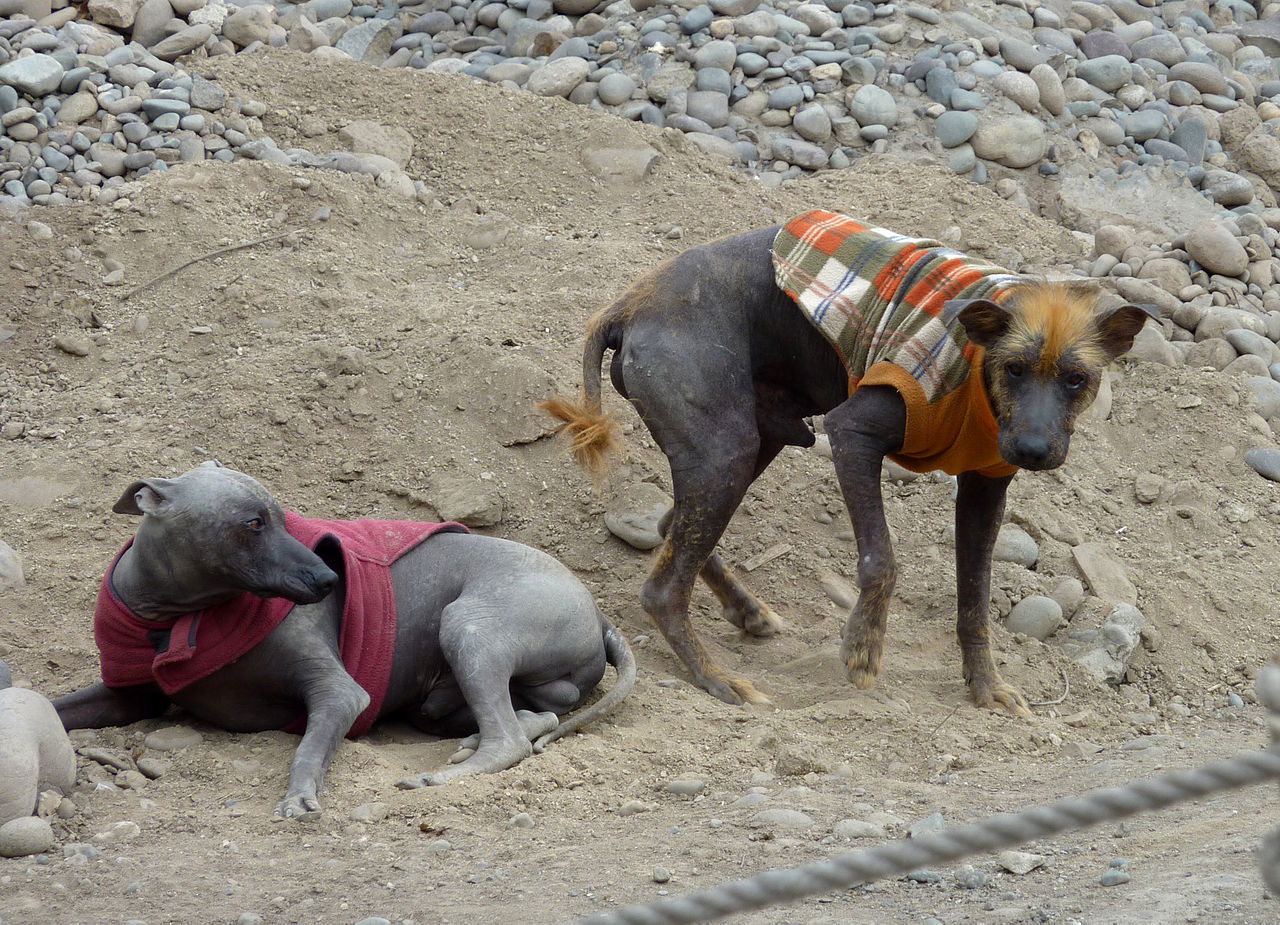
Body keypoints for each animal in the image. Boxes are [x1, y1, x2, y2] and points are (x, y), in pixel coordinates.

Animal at [53, 463, 634, 818]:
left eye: (286, 518)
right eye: (254, 523)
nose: (329, 579)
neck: (180, 618)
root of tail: (600, 613)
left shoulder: (342, 695)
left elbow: (308, 749)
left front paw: (300, 796)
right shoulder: (126, 695)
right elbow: (56, 707)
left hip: (469, 625)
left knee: (509, 740)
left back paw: (443, 776)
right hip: (445, 697)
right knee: (540, 716)